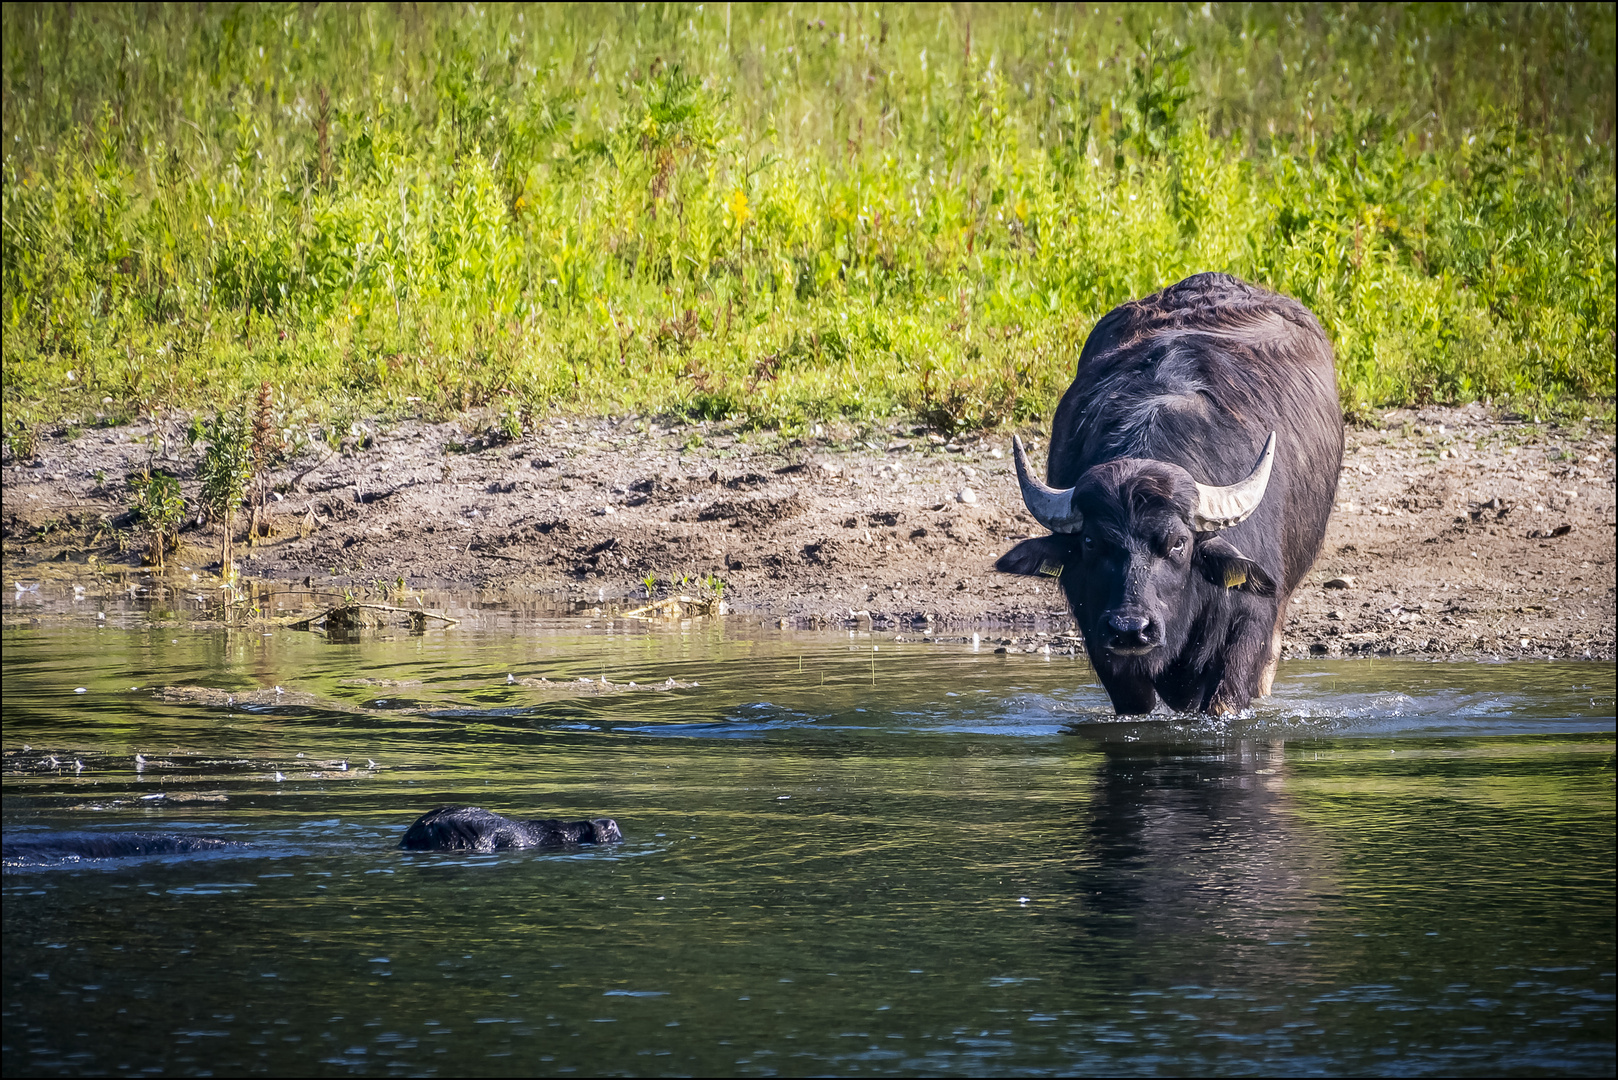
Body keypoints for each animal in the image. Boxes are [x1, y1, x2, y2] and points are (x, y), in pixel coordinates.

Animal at [996, 275, 1339, 718]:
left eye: (1178, 543)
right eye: (1090, 542)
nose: (1130, 628)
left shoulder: (1251, 621)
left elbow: (1227, 698)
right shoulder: (1101, 640)